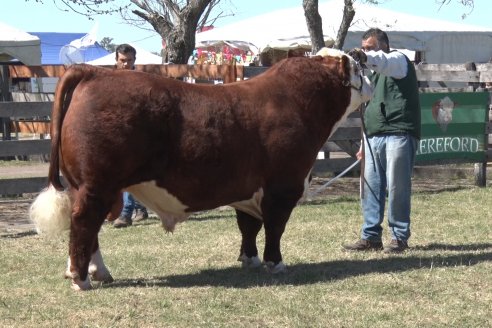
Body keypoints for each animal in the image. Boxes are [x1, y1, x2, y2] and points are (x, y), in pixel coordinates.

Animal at [29, 48, 368, 290]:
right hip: (97, 185)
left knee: (89, 229)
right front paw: (276, 263)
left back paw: (97, 272)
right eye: (353, 63)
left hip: (85, 186)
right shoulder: (282, 187)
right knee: (84, 224)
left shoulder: (248, 189)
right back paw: (81, 278)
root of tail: (93, 72)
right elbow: (274, 228)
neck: (299, 101)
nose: (364, 57)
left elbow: (249, 226)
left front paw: (249, 260)